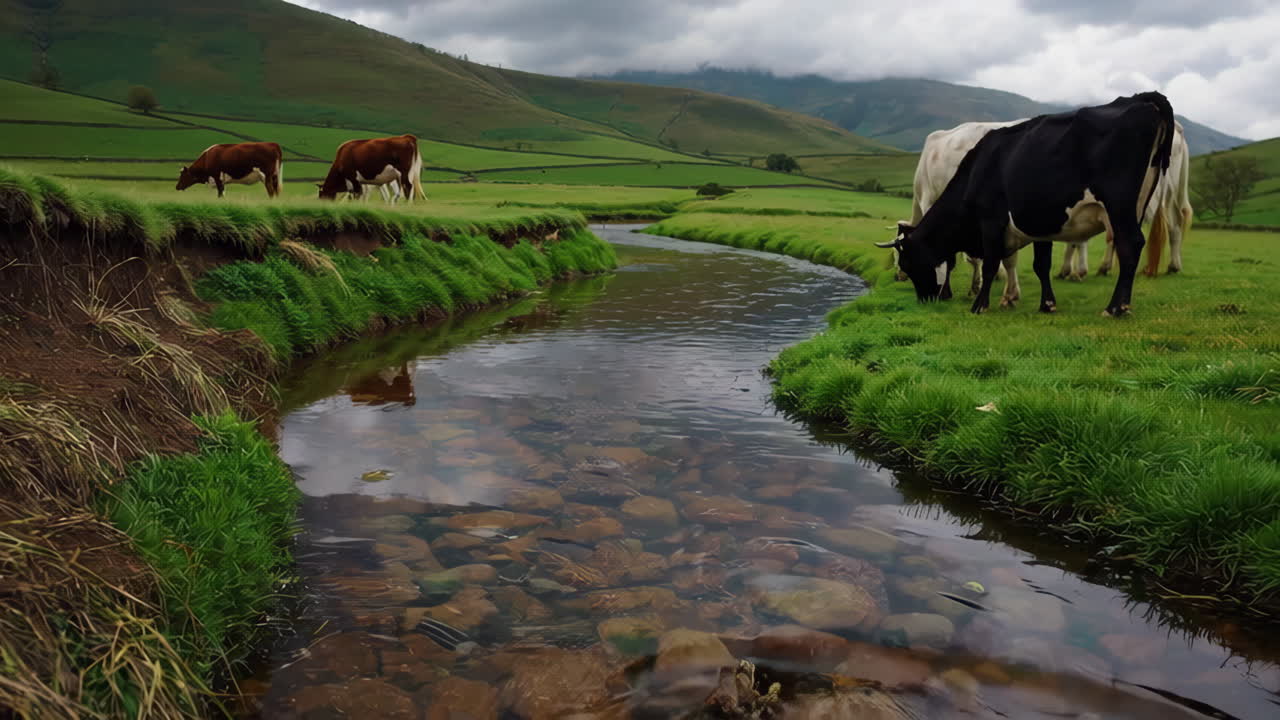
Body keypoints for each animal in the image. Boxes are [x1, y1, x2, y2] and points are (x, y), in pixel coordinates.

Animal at [878, 92, 1175, 317]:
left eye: (907, 263)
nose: (925, 300)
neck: (978, 169)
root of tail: (1142, 99)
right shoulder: (1040, 224)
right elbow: (1040, 264)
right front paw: (1046, 304)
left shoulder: (991, 220)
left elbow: (990, 262)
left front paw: (980, 304)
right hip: (1136, 206)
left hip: (1119, 206)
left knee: (1130, 245)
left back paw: (1115, 307)